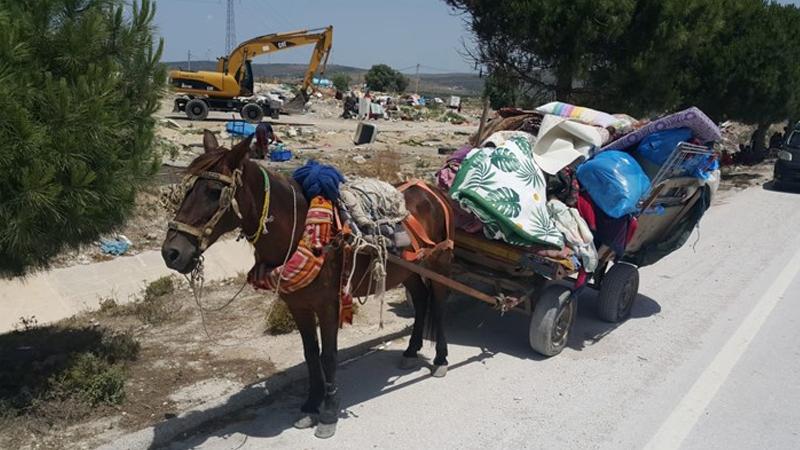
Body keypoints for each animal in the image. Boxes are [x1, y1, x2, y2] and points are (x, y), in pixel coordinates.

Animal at [162, 131, 454, 440]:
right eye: (187, 189)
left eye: (214, 191)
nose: (171, 253)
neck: (303, 227)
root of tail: (432, 189)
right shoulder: (298, 305)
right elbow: (311, 355)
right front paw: (312, 404)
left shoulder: (328, 305)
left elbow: (329, 356)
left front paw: (329, 412)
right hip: (408, 269)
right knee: (421, 301)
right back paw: (411, 351)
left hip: (440, 263)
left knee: (437, 305)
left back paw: (440, 359)